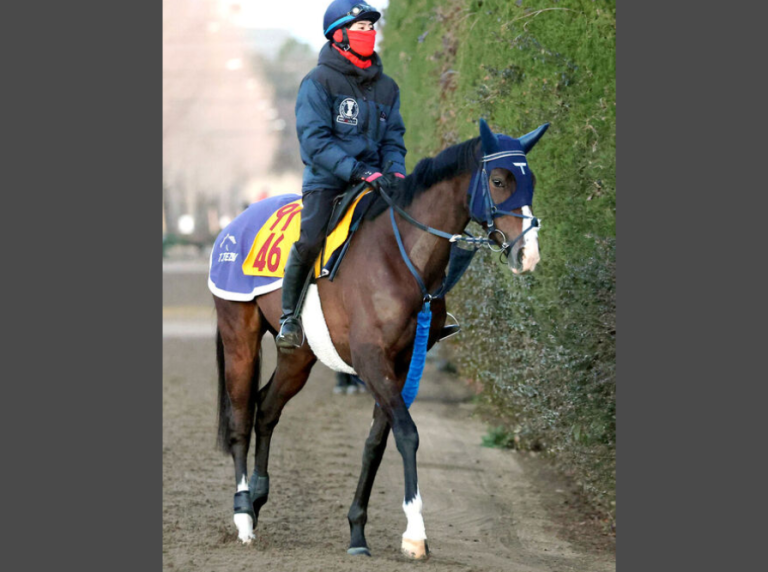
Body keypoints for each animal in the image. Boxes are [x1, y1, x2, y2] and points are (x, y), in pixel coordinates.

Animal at [211, 118, 549, 559]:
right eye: (498, 179)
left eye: (532, 180)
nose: (528, 253)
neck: (401, 257)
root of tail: (233, 227)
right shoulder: (371, 359)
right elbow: (407, 433)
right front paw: (416, 533)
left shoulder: (401, 364)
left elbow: (377, 442)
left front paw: (358, 530)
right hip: (240, 334)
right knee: (240, 417)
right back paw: (243, 517)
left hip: (299, 355)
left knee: (266, 408)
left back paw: (257, 498)